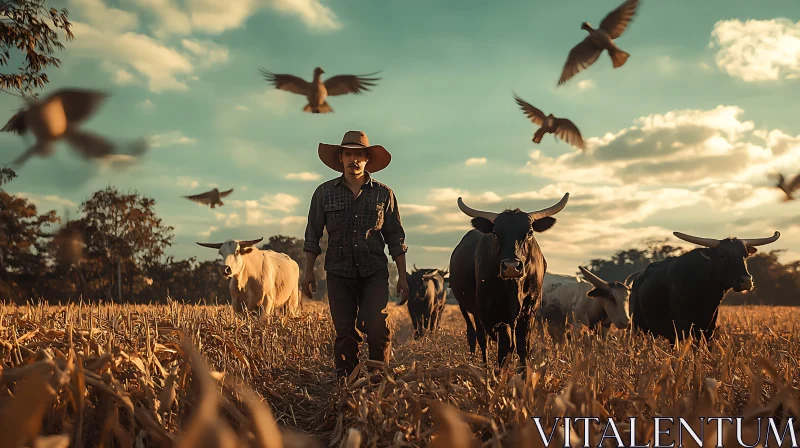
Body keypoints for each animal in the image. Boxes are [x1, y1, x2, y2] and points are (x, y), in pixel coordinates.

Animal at [450, 192, 568, 368]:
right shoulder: (492, 313)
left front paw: (523, 372)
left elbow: (522, 346)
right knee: (478, 337)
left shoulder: (529, 311)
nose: (512, 267)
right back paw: (484, 367)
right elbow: (503, 347)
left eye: (530, 232)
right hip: (466, 307)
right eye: (495, 233)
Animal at [628, 231, 780, 344]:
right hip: (640, 327)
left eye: (745, 256)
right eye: (723, 255)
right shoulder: (683, 327)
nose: (746, 281)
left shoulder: (707, 329)